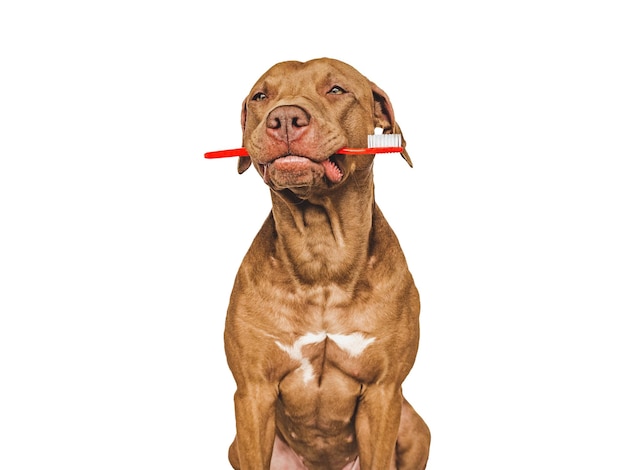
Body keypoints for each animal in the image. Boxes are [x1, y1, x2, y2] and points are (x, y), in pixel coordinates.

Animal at [222, 58, 426, 470]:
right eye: (261, 96)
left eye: (336, 90)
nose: (284, 117)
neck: (322, 257)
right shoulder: (252, 393)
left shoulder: (383, 394)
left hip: (414, 425)